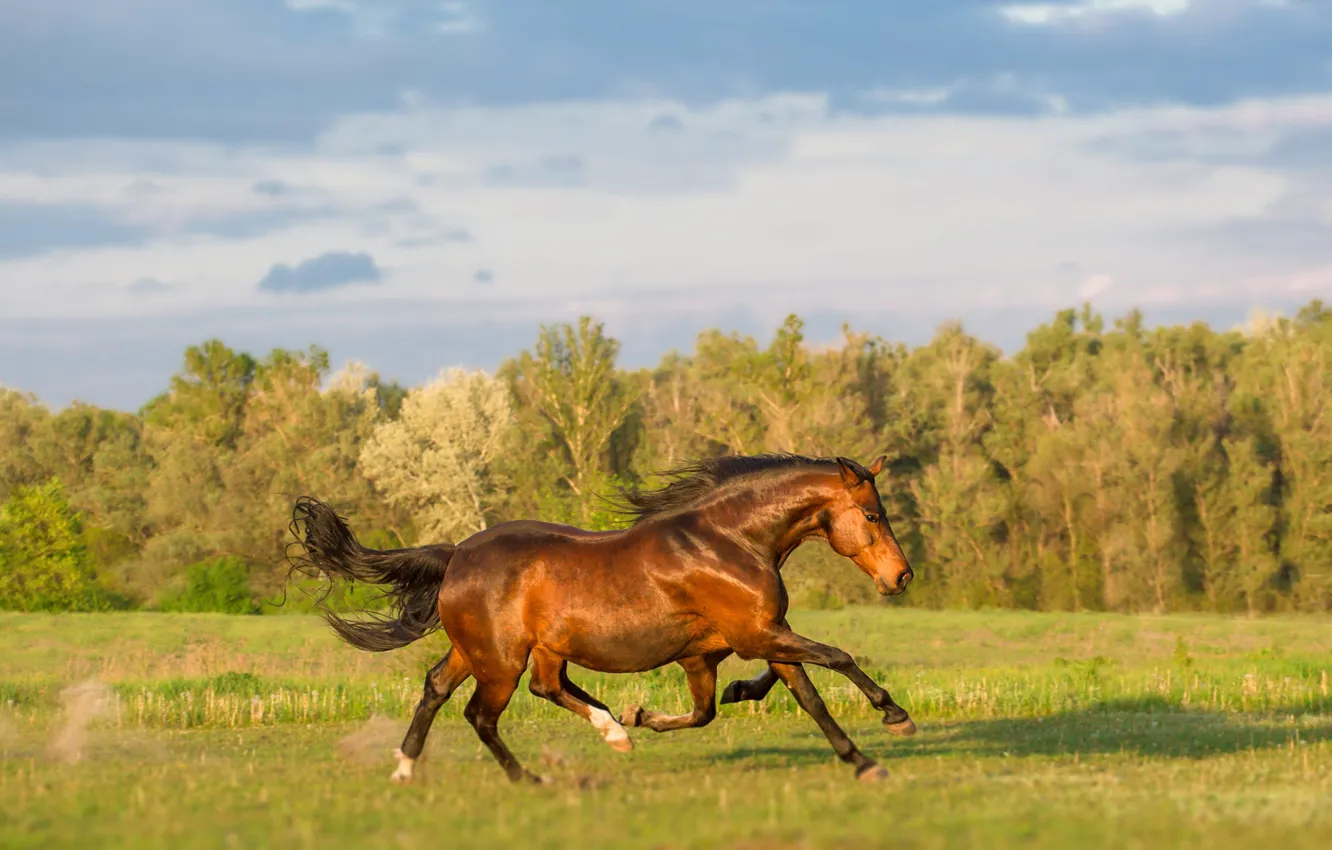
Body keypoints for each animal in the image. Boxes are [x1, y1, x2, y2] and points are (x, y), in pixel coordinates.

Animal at [286, 452, 918, 784]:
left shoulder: (742, 643)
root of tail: (457, 553)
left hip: (490, 650)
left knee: (447, 688)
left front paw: (861, 762)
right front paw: (895, 717)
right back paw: (533, 776)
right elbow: (837, 658)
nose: (901, 577)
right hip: (501, 660)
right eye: (872, 514)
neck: (729, 541)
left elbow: (782, 699)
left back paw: (407, 767)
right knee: (483, 713)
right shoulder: (758, 634)